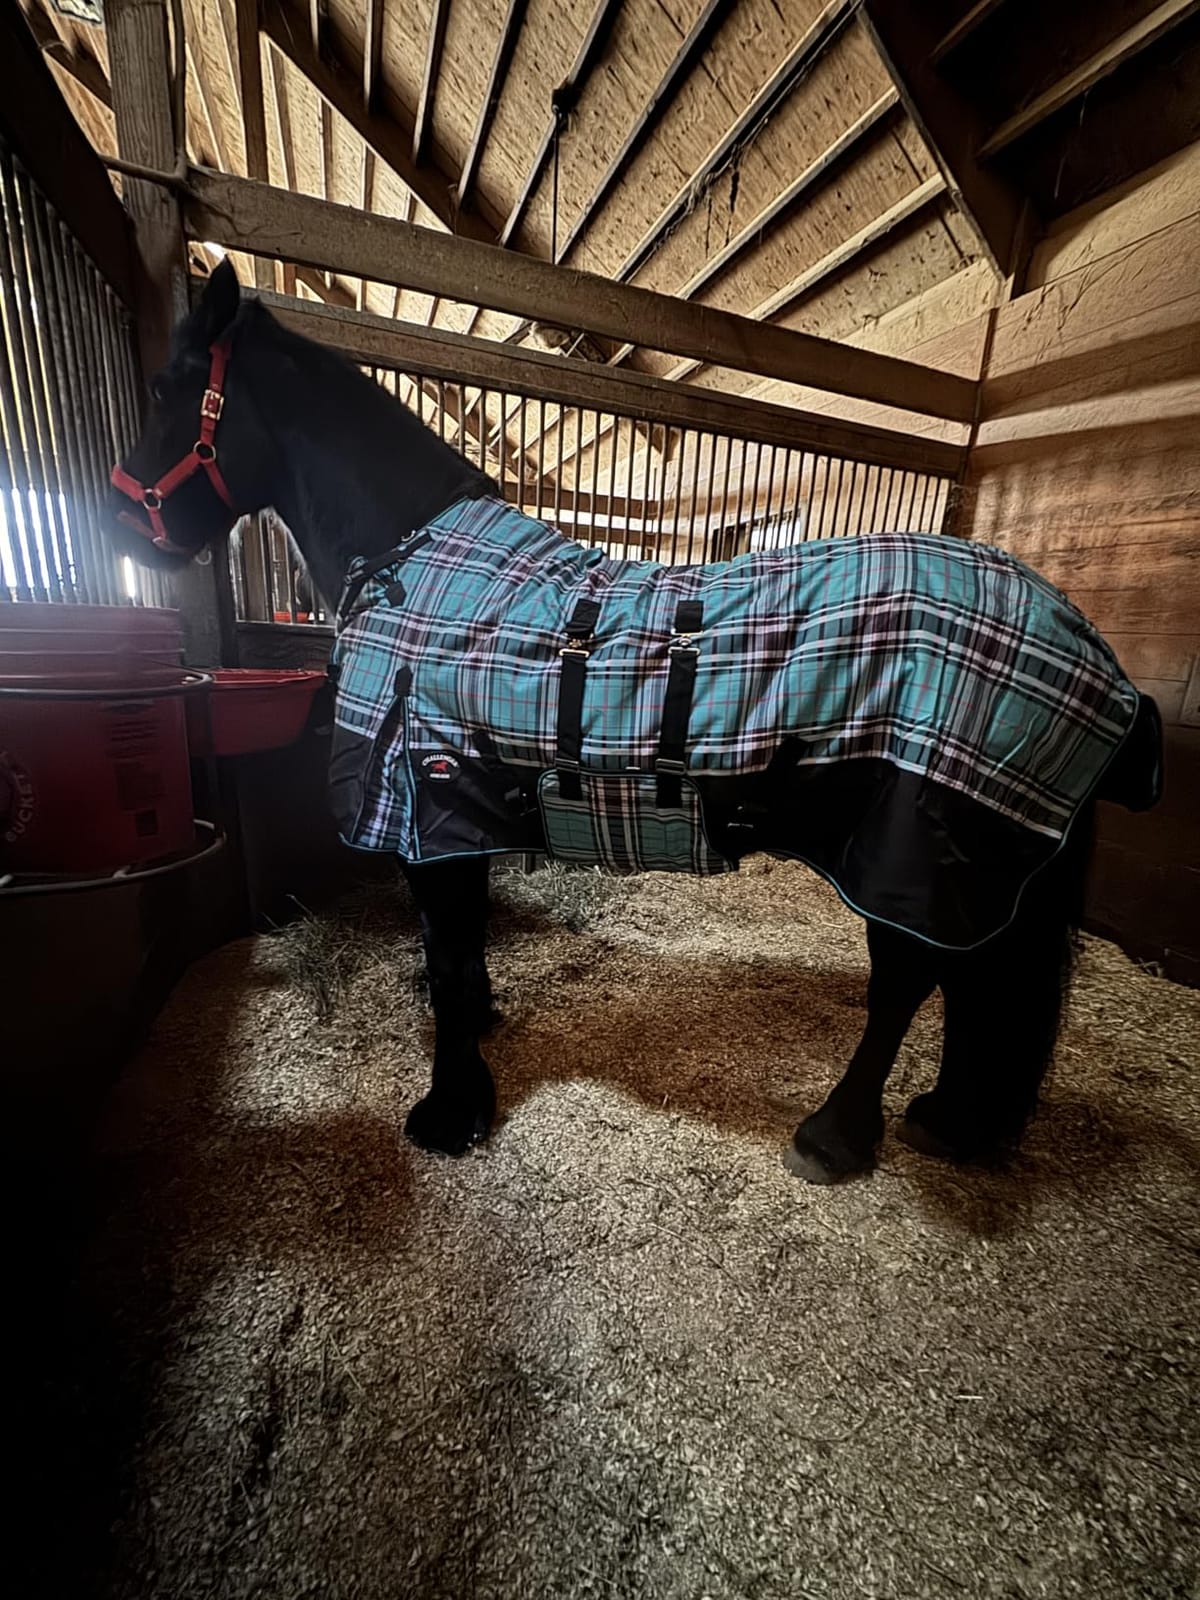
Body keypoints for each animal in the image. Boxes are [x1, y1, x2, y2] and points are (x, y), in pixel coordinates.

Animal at [107, 260, 1162, 1185]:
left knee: (910, 983)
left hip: (913, 861)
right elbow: (462, 947)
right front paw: (480, 1039)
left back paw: (835, 1137)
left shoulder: (424, 804)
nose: (121, 527)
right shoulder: (458, 813)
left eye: (165, 387)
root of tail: (1089, 648)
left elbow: (444, 956)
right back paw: (951, 1120)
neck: (417, 560)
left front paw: (450, 1109)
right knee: (982, 983)